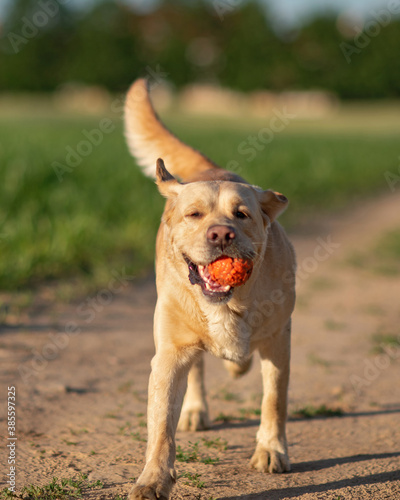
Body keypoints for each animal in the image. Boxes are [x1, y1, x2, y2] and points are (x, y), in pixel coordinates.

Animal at [125, 79, 296, 500]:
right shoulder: (169, 355)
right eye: (194, 215)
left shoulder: (278, 342)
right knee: (200, 368)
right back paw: (195, 409)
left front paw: (271, 450)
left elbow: (274, 400)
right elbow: (160, 429)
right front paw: (153, 478)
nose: (221, 234)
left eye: (242, 214)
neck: (228, 304)